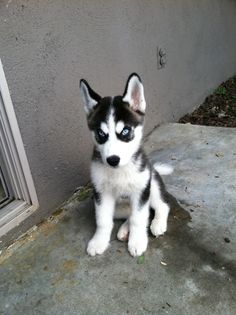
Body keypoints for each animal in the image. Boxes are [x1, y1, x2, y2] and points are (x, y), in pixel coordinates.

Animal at [79, 75, 171, 258]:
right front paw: (99, 241)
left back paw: (157, 224)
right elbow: (103, 220)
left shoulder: (141, 191)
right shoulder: (101, 194)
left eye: (125, 131)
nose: (112, 160)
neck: (119, 171)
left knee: (160, 207)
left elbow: (138, 218)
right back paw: (124, 230)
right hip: (118, 207)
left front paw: (137, 241)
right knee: (132, 214)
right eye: (101, 134)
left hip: (152, 185)